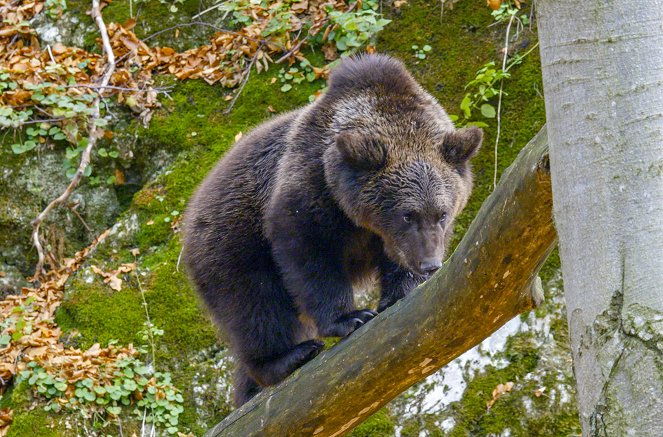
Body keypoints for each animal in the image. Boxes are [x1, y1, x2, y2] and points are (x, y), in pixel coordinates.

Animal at [182, 53, 482, 406]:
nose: (430, 264)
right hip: (232, 243)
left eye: (442, 213)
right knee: (255, 307)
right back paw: (286, 357)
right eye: (407, 215)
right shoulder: (309, 193)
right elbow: (310, 257)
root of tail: (191, 211)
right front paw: (350, 317)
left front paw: (398, 292)